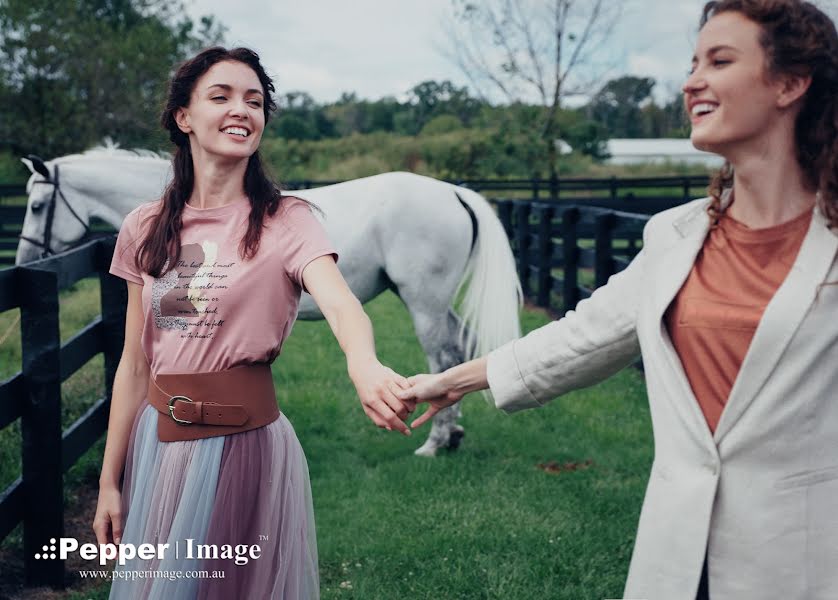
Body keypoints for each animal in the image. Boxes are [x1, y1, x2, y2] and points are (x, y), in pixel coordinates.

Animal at [16, 149, 520, 454]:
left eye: (38, 207)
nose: (22, 261)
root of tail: (452, 190)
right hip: (429, 300)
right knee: (458, 351)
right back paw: (453, 433)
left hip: (422, 303)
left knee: (442, 356)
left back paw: (435, 442)